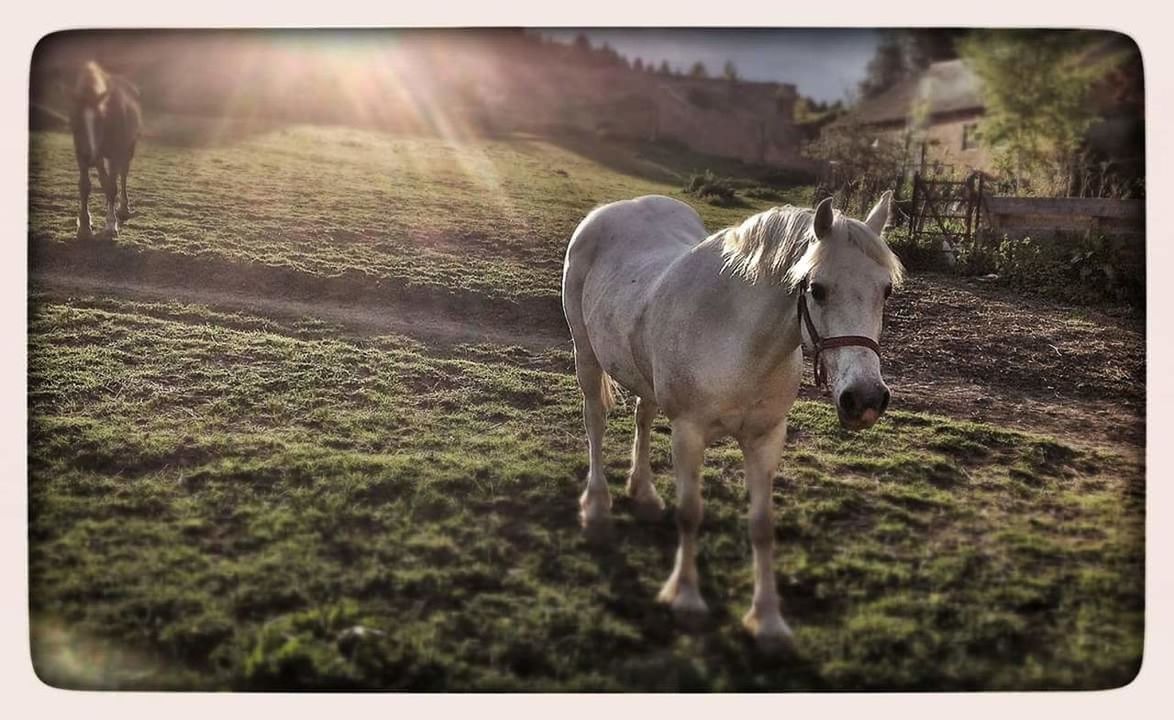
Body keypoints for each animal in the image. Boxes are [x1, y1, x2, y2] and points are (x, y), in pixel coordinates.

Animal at [70, 61, 142, 238]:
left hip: (128, 150)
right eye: (75, 121)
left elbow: (111, 187)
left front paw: (111, 224)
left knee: (122, 177)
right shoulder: (80, 154)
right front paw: (84, 226)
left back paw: (123, 207)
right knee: (106, 178)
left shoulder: (115, 154)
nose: (89, 156)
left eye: (100, 120)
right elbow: (85, 186)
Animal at [563, 189, 901, 643]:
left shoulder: (766, 438)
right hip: (586, 355)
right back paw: (598, 506)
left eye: (886, 290)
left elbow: (762, 525)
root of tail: (614, 209)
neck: (737, 339)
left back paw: (644, 494)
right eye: (817, 288)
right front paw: (686, 598)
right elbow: (690, 513)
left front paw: (769, 620)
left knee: (643, 416)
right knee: (595, 422)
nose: (864, 398)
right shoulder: (688, 433)